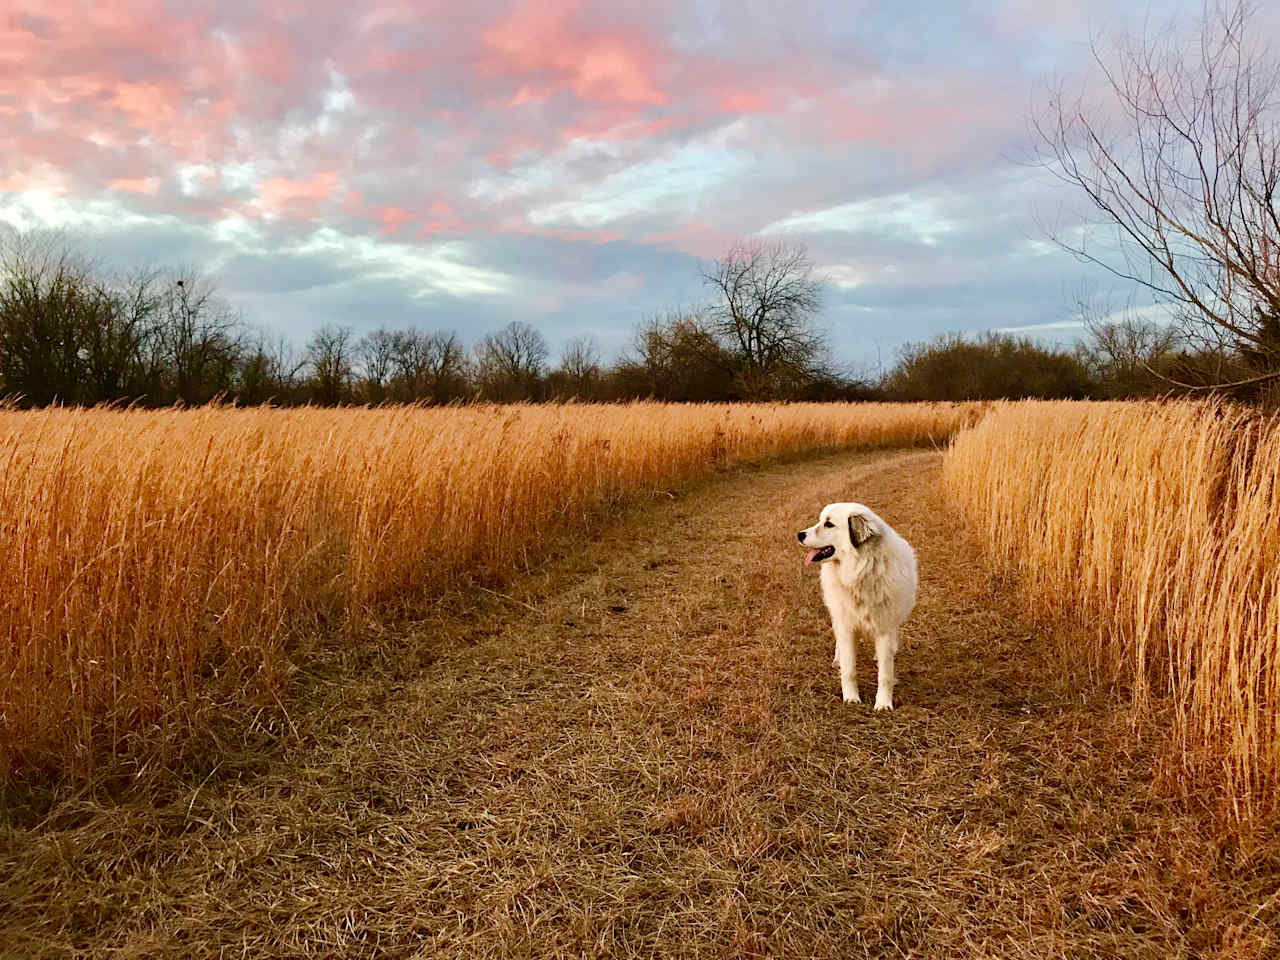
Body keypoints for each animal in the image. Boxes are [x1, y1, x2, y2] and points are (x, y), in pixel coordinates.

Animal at [793, 506, 916, 711]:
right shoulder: (846, 626)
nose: (799, 534)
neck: (861, 570)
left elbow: (885, 674)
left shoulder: (884, 627)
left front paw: (883, 704)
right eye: (820, 520)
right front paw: (851, 698)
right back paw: (837, 659)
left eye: (829, 524)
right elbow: (849, 669)